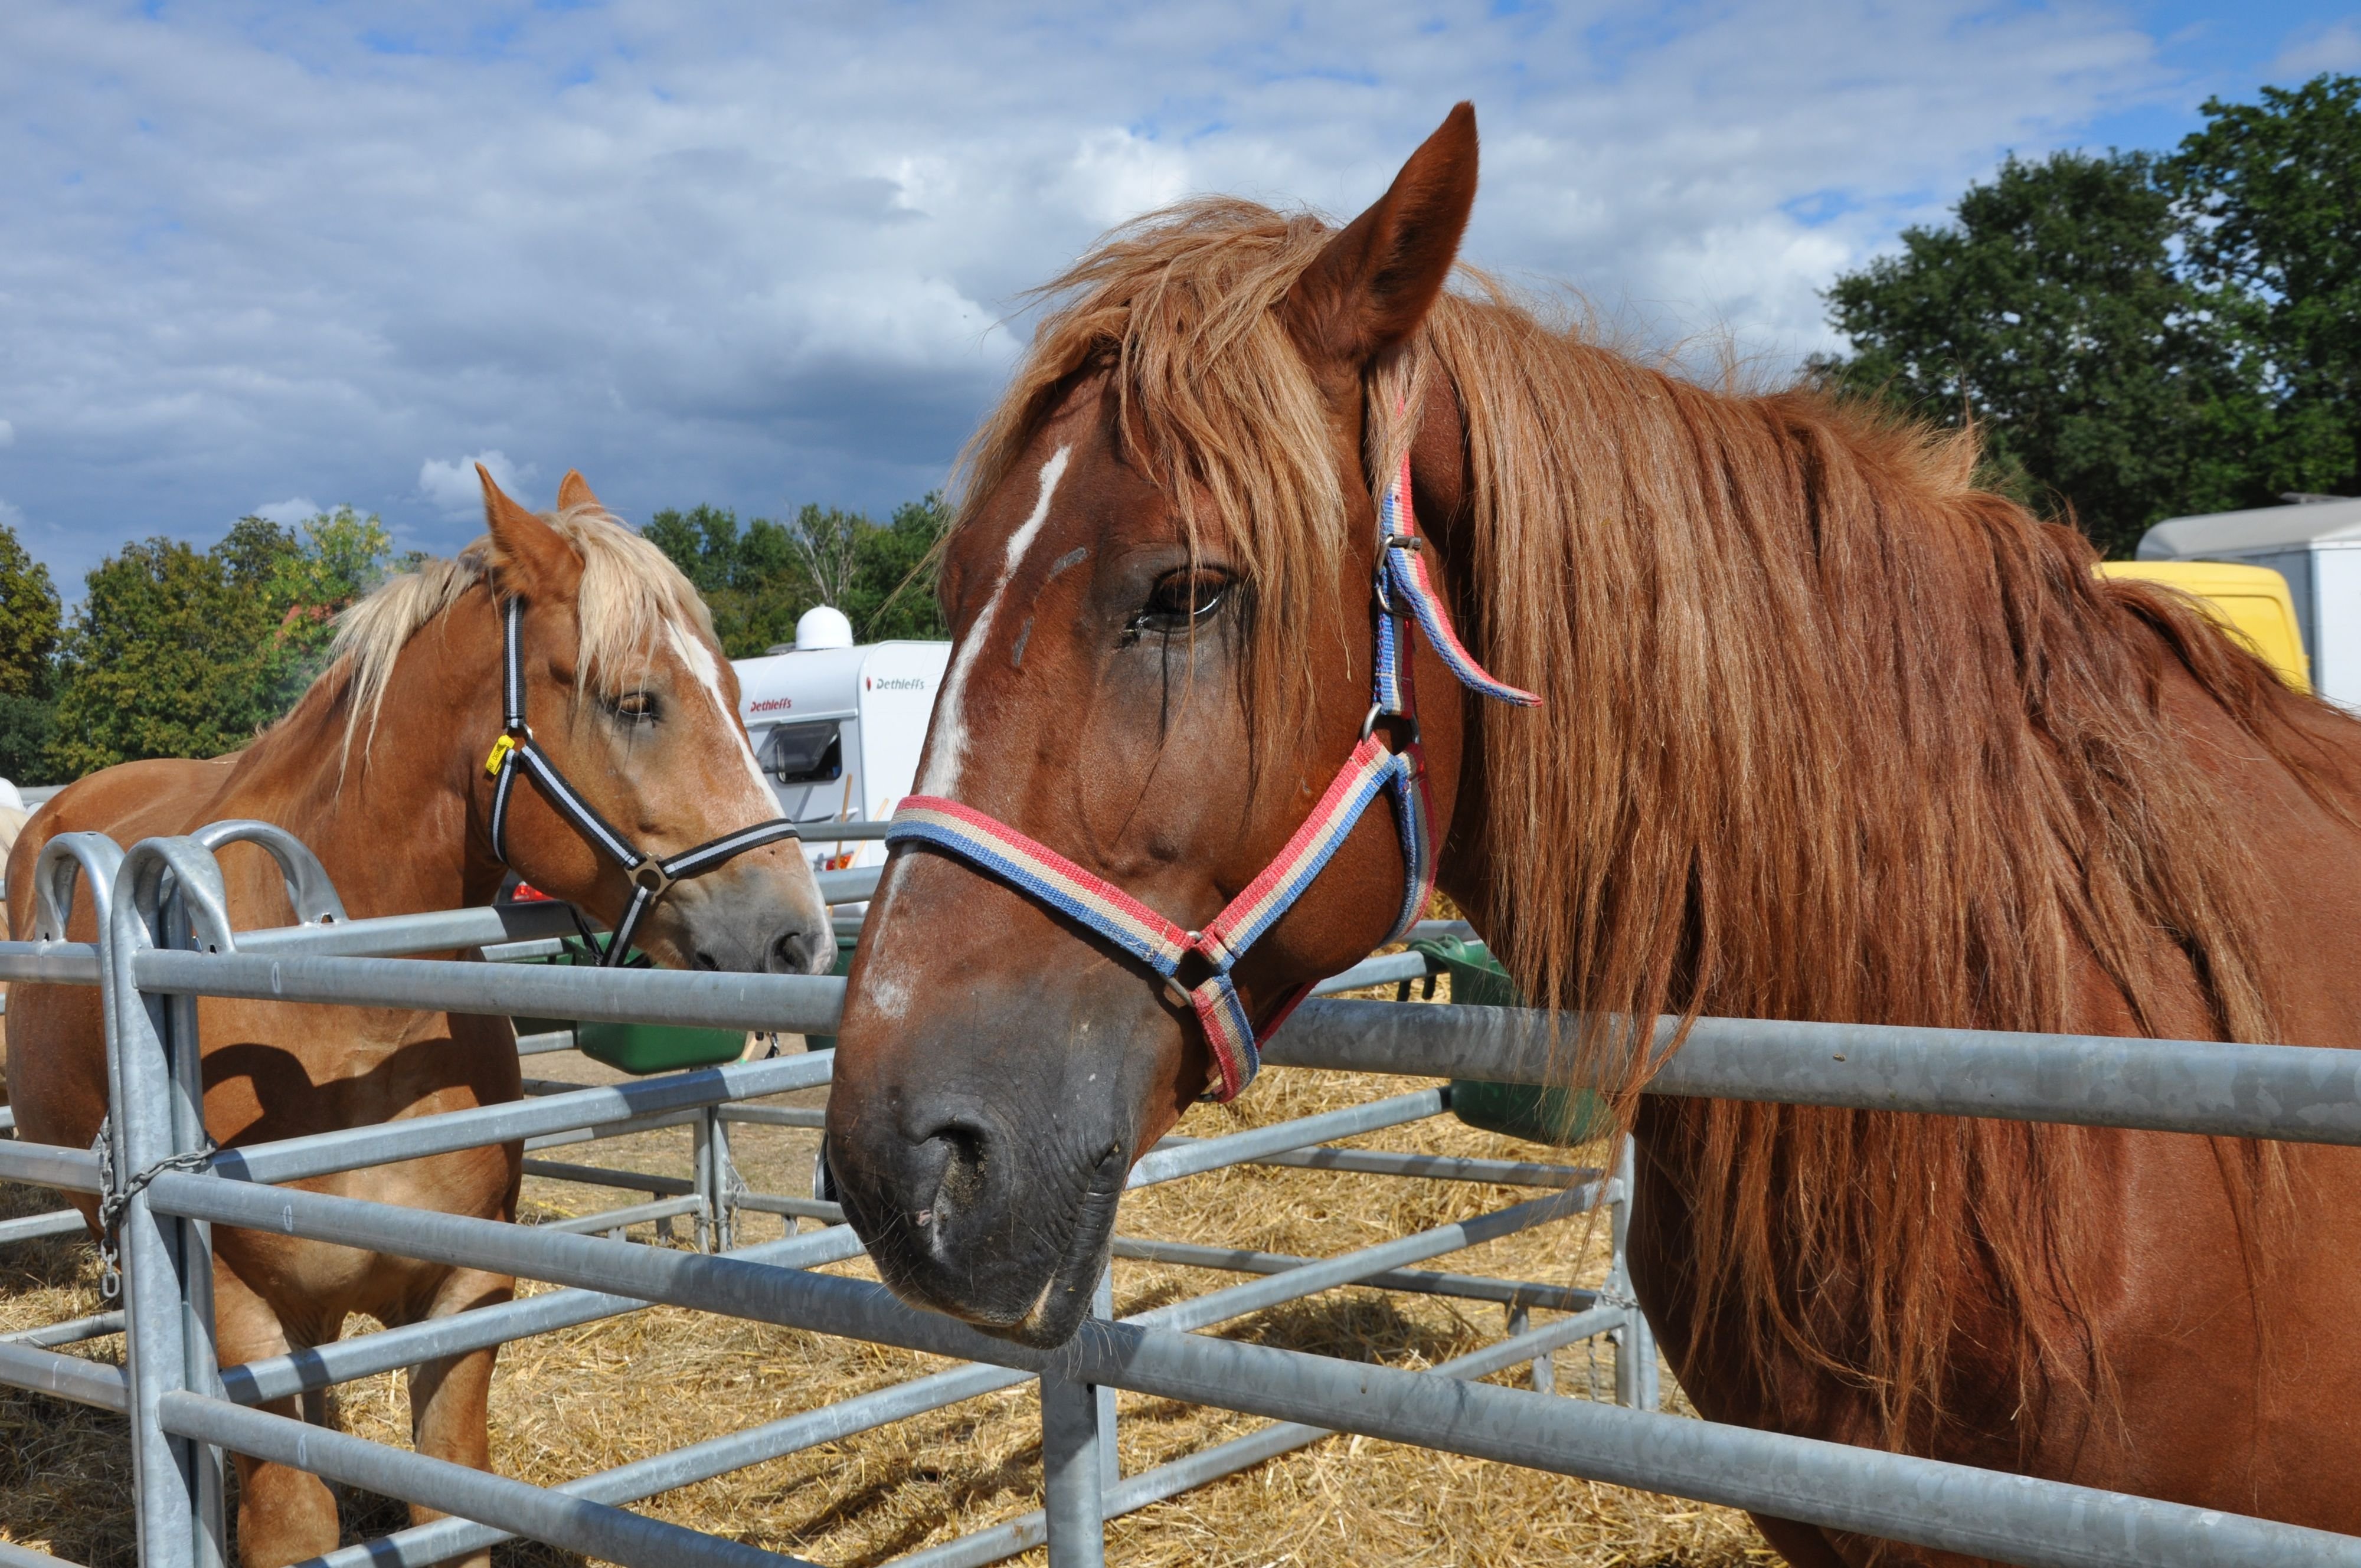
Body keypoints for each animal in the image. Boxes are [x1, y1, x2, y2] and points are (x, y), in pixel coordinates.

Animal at [4, 467, 836, 1568]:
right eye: (635, 702)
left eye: (743, 700)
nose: (798, 937)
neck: (345, 1028)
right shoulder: (239, 1306)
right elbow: (292, 1519)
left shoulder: (461, 1296)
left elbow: (447, 1502)